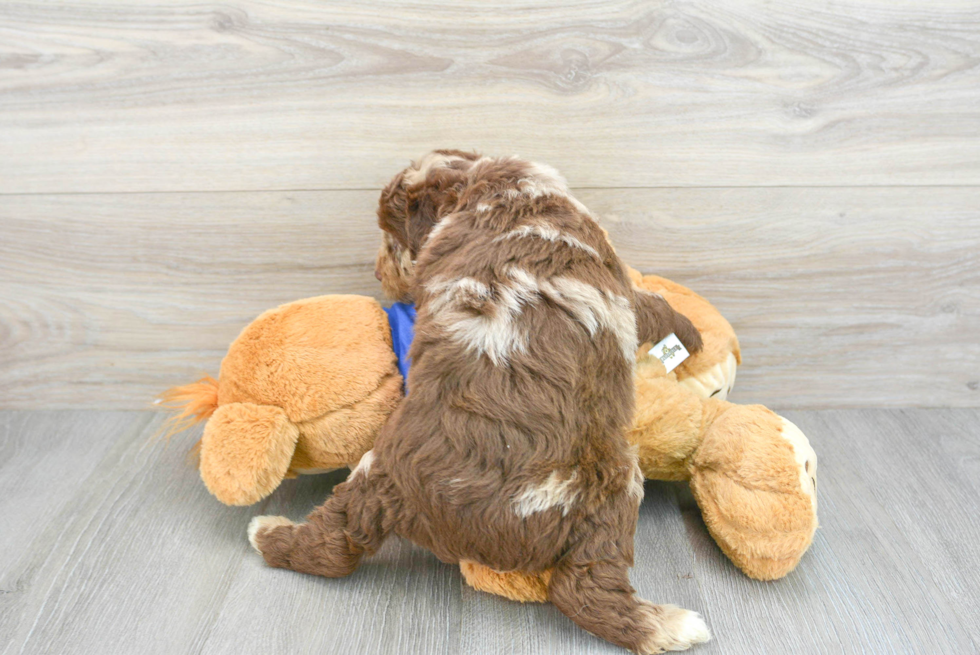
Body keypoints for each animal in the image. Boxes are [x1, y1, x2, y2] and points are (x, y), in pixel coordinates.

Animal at [249, 151, 708, 652]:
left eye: (391, 240)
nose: (376, 272)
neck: (496, 190)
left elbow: (653, 306)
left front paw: (690, 334)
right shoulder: (615, 278)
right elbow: (650, 304)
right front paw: (693, 332)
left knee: (336, 542)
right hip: (612, 490)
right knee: (582, 589)